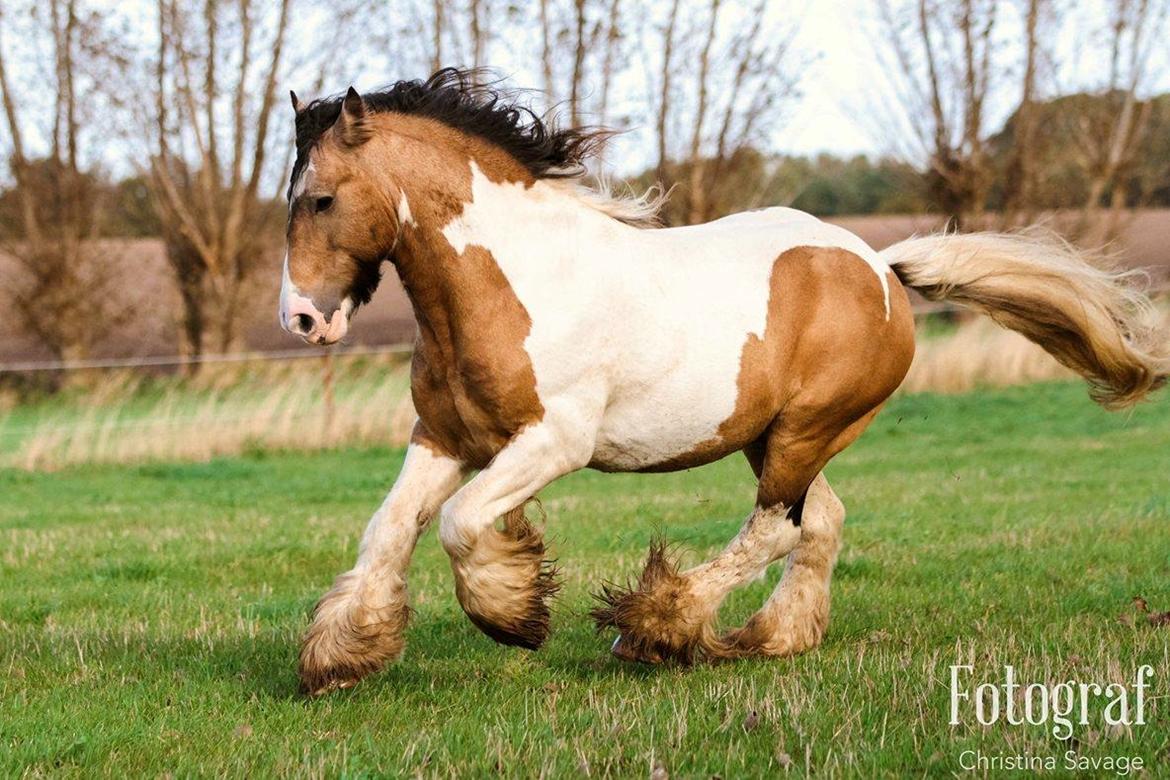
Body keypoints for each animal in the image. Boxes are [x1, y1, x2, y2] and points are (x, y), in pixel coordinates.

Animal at [278, 68, 1165, 696]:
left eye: (319, 199)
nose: (302, 320)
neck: (514, 281)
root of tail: (878, 264)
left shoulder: (555, 443)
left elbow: (462, 524)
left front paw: (515, 613)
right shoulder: (442, 437)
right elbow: (388, 529)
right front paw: (340, 657)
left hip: (808, 428)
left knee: (775, 528)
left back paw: (655, 629)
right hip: (773, 438)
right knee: (820, 521)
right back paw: (768, 637)